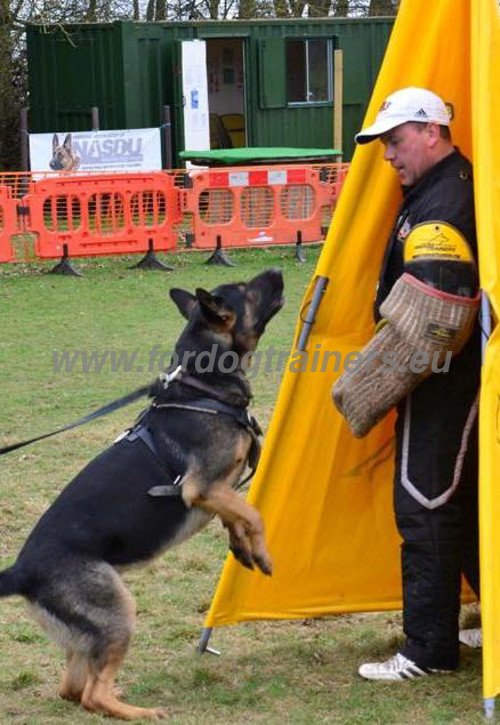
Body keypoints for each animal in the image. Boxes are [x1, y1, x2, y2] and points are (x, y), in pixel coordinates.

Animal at [0, 270, 282, 720]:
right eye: (248, 289)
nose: (277, 273)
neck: (203, 388)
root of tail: (20, 572)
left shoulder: (217, 491)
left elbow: (236, 516)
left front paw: (243, 550)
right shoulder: (201, 487)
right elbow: (252, 513)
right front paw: (264, 555)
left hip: (90, 632)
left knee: (73, 690)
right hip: (119, 612)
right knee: (91, 694)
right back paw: (141, 712)